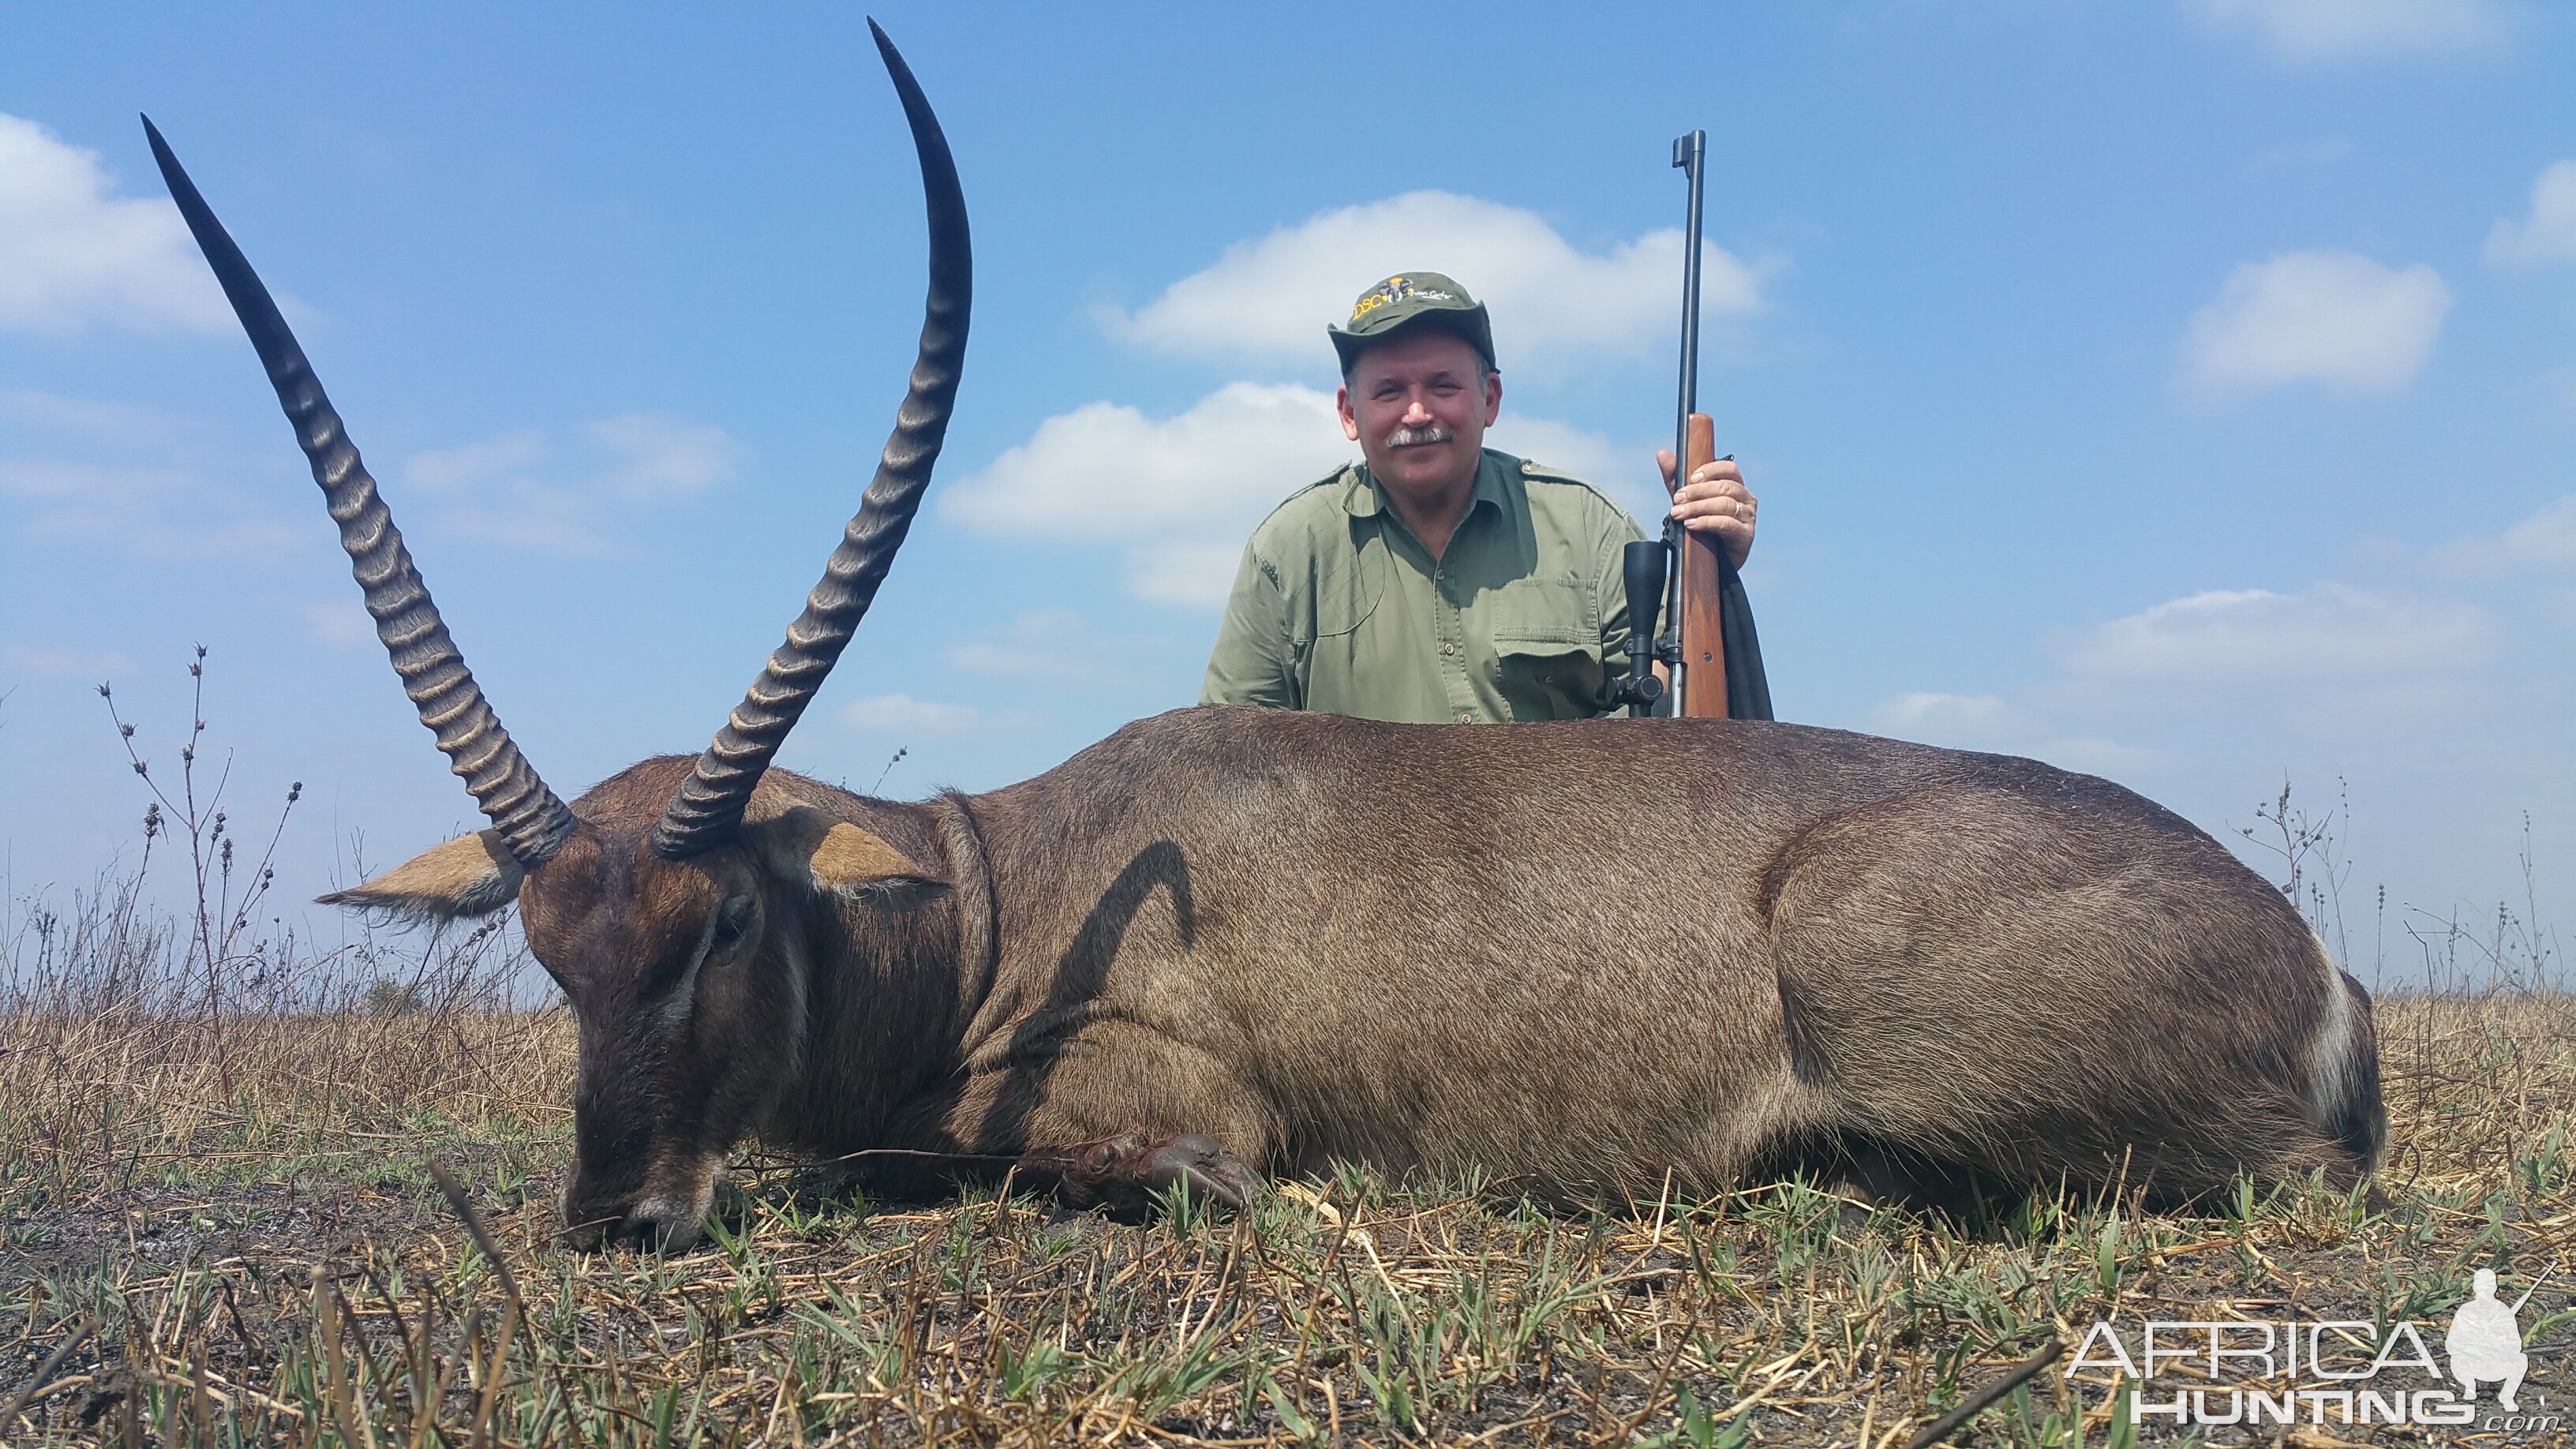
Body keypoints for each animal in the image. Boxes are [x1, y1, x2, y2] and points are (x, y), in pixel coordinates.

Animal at [155, 25, 2369, 1242]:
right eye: (549, 954)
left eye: (713, 932)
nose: (617, 1219)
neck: (1002, 890)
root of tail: (2310, 949)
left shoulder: (1162, 1093)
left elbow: (1021, 1156)